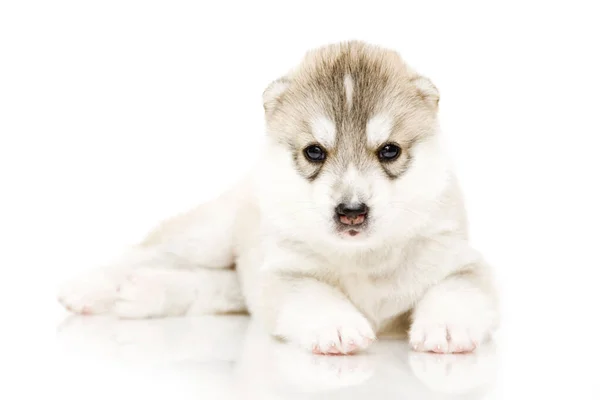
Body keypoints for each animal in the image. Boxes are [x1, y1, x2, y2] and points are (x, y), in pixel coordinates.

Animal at [58, 39, 500, 354]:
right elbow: (313, 293)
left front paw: (447, 326)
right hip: (209, 237)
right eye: (314, 152)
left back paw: (143, 292)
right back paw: (90, 288)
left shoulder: (461, 260)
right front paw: (338, 325)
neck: (363, 257)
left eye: (390, 151)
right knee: (146, 251)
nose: (351, 212)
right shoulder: (285, 272)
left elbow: (456, 289)